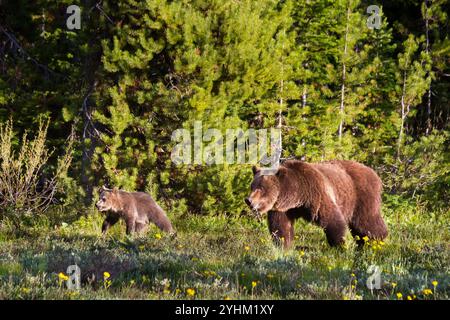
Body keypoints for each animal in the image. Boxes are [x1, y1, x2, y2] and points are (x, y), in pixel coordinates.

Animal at [244, 161, 388, 249]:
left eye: (260, 188)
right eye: (252, 186)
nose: (248, 200)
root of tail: (374, 173)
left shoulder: (318, 195)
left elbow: (333, 221)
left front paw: (339, 245)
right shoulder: (282, 208)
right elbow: (281, 228)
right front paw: (283, 246)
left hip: (361, 196)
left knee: (367, 222)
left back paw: (377, 240)